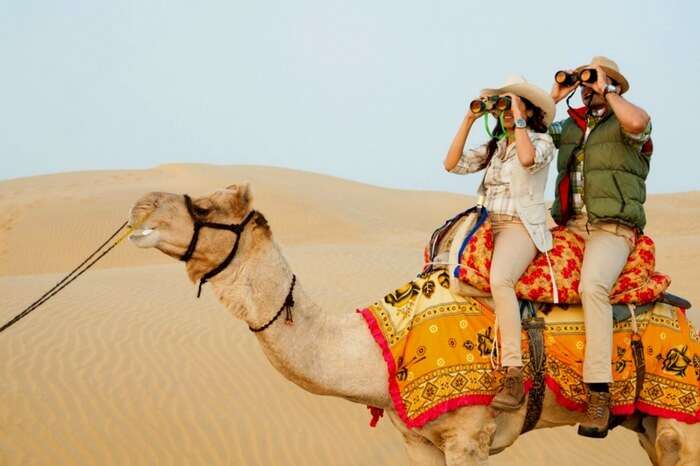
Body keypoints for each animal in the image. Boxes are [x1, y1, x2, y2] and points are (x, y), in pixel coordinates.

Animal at [127, 184, 700, 464]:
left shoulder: (468, 436)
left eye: (204, 207)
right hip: (646, 423)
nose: (140, 205)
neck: (379, 350)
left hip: (681, 417)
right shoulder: (417, 442)